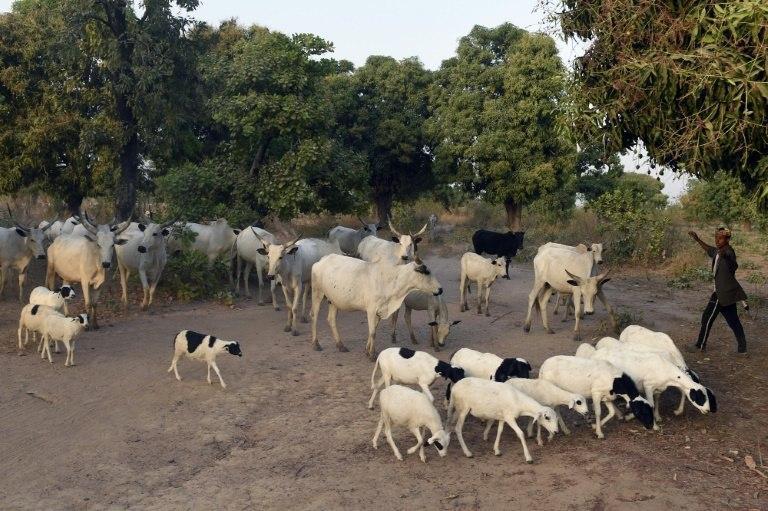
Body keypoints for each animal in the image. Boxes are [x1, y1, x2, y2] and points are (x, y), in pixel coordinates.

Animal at [310, 254, 443, 359]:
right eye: (426, 272)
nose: (441, 289)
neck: (391, 281)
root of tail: (322, 259)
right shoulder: (371, 310)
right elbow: (373, 332)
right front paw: (372, 355)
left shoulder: (380, 310)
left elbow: (373, 330)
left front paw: (367, 351)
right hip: (317, 293)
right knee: (314, 316)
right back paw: (316, 344)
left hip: (333, 301)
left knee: (331, 319)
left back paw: (340, 345)